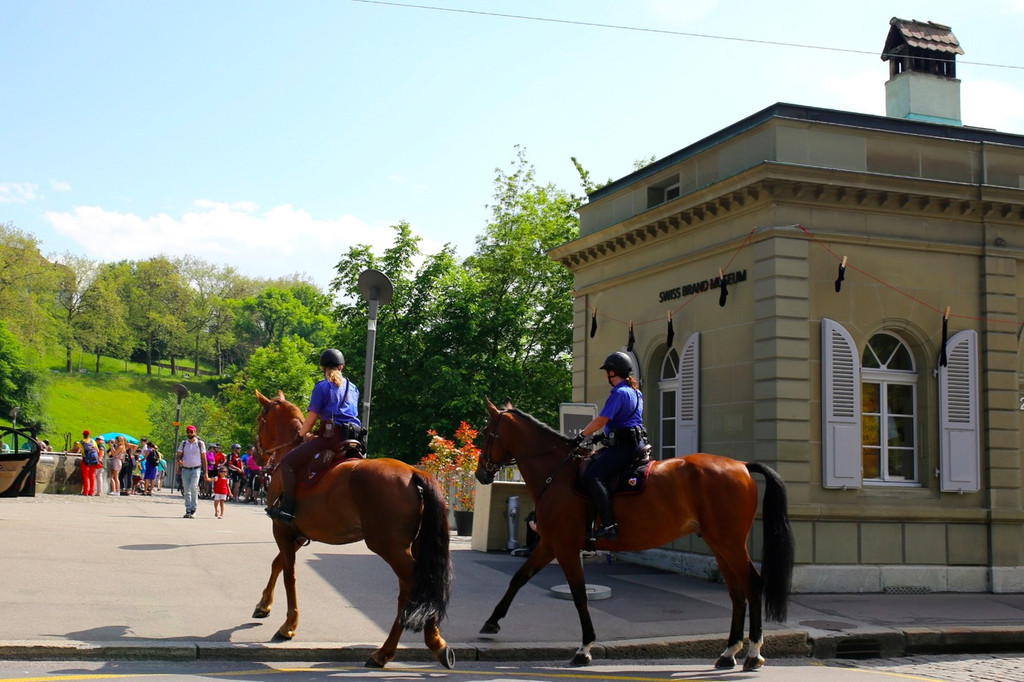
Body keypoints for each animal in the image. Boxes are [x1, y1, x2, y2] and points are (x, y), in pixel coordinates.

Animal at [249, 391, 454, 667]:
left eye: (260, 420)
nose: (256, 454)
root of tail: (413, 472)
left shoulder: (282, 529)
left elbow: (289, 575)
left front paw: (289, 625)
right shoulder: (297, 535)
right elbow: (277, 564)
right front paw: (264, 604)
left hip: (390, 548)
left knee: (416, 586)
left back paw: (418, 644)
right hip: (410, 548)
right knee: (409, 590)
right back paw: (398, 649)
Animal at [475, 399, 794, 667]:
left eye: (487, 433)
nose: (481, 474)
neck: (558, 473)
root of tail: (741, 465)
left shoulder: (565, 547)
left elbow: (579, 595)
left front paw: (585, 647)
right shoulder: (550, 545)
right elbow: (519, 578)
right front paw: (491, 621)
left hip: (729, 544)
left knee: (752, 584)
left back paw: (753, 652)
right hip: (720, 545)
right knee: (737, 592)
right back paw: (729, 652)